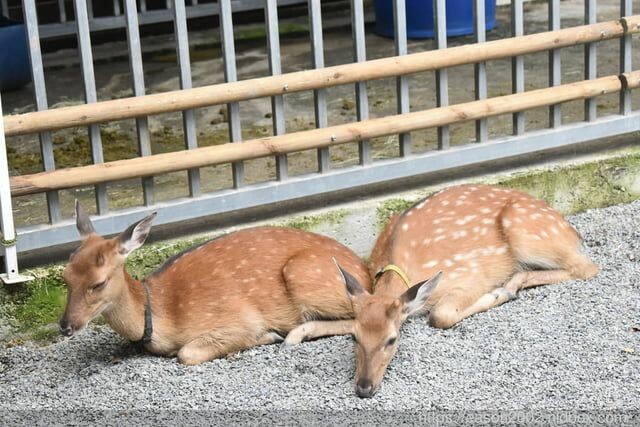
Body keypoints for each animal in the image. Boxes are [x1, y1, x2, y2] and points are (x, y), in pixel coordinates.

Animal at [59, 201, 371, 365]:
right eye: (66, 276)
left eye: (98, 283)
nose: (65, 326)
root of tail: (365, 270)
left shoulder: (238, 318)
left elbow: (187, 353)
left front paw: (269, 335)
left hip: (305, 275)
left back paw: (293, 334)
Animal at [284, 184, 599, 398]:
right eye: (354, 338)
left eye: (392, 340)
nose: (364, 388)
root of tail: (571, 229)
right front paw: (295, 335)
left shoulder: (469, 275)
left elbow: (441, 315)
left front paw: (495, 294)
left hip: (527, 232)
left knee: (587, 267)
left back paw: (509, 287)